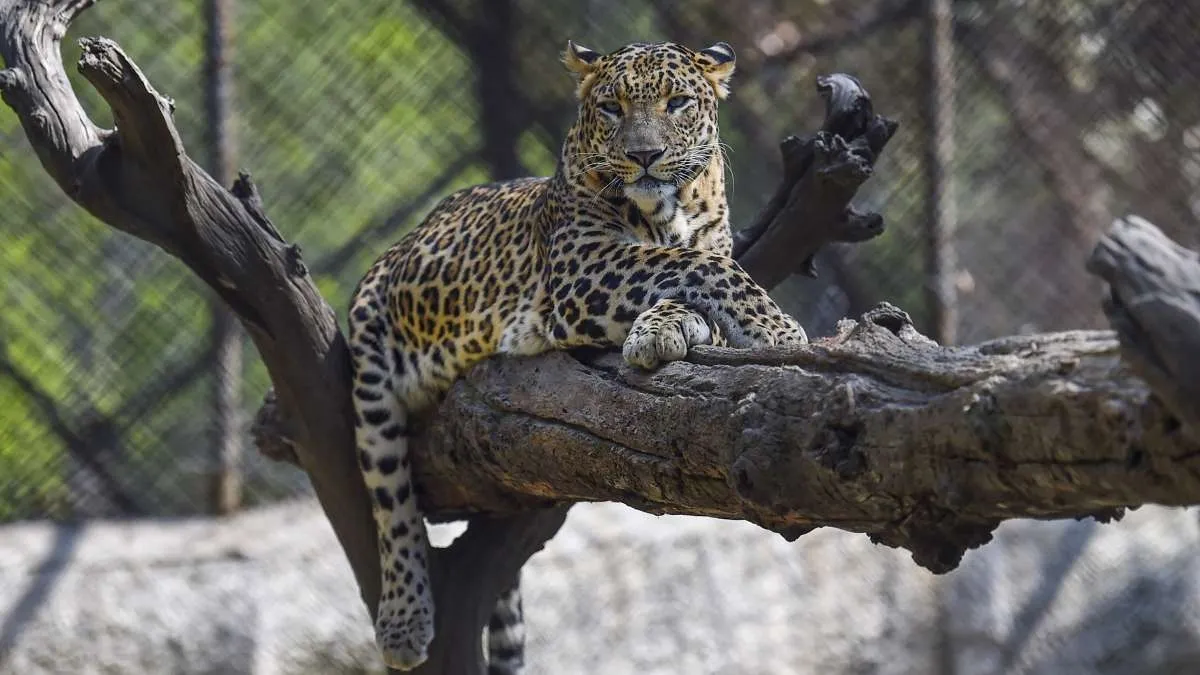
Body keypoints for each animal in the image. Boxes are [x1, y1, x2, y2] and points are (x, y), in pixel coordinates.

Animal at [347, 39, 809, 671]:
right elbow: (696, 267)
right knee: (390, 500)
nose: (644, 155)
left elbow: (694, 273)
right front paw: (780, 329)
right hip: (369, 355)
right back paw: (404, 620)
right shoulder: (581, 267)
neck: (667, 214)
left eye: (678, 103)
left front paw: (662, 329)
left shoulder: (694, 246)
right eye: (612, 108)